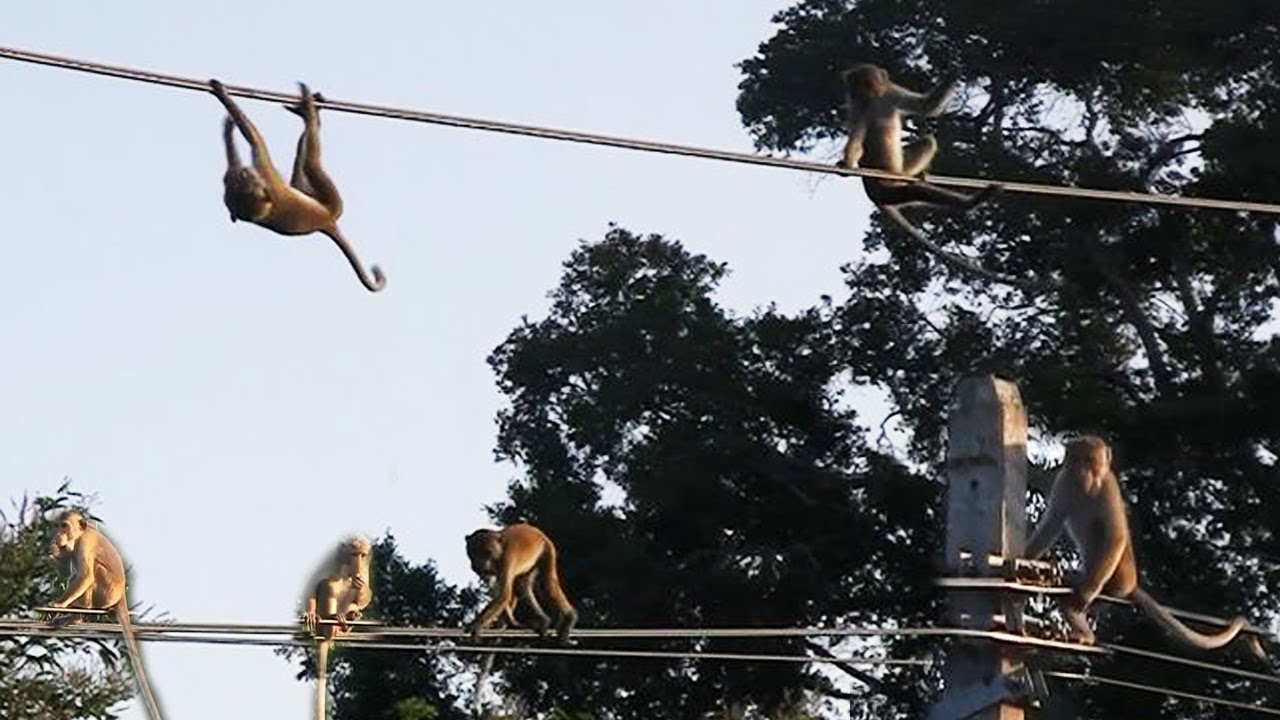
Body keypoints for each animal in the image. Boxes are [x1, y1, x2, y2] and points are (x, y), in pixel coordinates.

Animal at [46, 511, 165, 720]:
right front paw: (51, 552)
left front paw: (58, 604)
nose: (58, 535)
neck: (78, 537)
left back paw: (78, 614)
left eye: (64, 525)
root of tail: (122, 595)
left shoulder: (85, 543)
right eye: (58, 526)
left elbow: (85, 576)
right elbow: (67, 569)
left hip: (107, 591)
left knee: (91, 571)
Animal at [209, 79, 386, 293]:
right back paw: (309, 112)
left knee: (303, 166)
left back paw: (309, 111)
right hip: (333, 204)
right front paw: (222, 96)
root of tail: (328, 223)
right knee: (311, 162)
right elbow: (257, 143)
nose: (245, 172)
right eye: (248, 181)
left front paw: (228, 122)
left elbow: (245, 152)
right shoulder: (268, 182)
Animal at [303, 535, 373, 720]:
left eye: (362, 555)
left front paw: (361, 586)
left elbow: (364, 591)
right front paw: (309, 614)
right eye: (354, 553)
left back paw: (348, 620)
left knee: (349, 589)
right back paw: (333, 622)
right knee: (330, 583)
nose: (358, 562)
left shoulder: (365, 565)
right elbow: (314, 583)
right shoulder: (330, 559)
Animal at [1026, 435, 1264, 657]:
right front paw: (1028, 556)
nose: (1087, 475)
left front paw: (1086, 593)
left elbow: (1116, 536)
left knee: (1101, 535)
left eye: (1092, 462)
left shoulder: (1108, 486)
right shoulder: (1064, 481)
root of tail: (1132, 584)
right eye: (1079, 460)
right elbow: (1052, 523)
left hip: (1120, 575)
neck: (1087, 488)